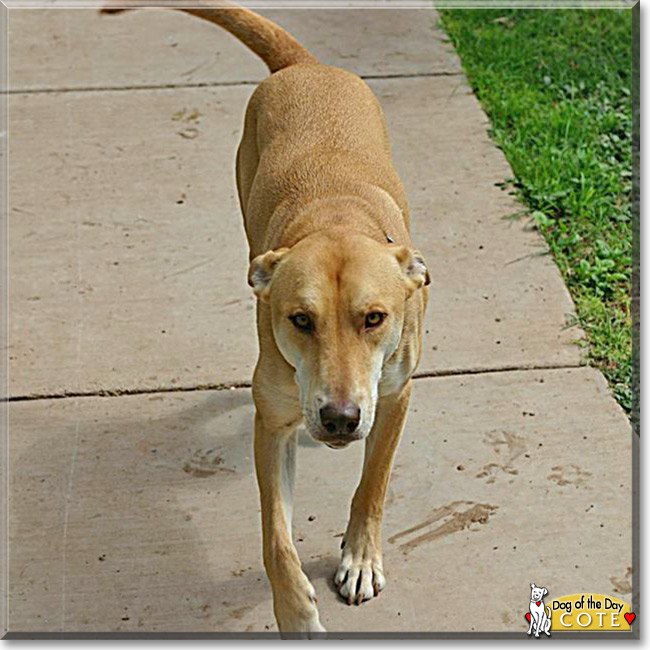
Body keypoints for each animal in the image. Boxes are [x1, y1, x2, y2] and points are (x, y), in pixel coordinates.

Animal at [101, 2, 430, 636]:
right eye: (300, 320)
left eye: (375, 318)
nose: (339, 419)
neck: (335, 217)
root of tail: (305, 65)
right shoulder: (273, 422)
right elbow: (276, 538)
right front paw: (296, 612)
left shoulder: (396, 395)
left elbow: (374, 481)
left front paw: (359, 556)